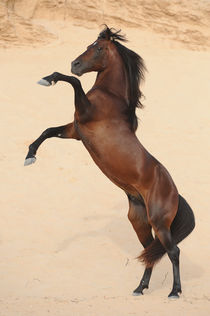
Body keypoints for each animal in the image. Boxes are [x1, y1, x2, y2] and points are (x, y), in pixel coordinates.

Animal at [24, 25, 195, 298]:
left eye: (99, 48)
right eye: (89, 44)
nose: (75, 64)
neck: (111, 96)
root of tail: (175, 193)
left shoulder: (83, 114)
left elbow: (74, 82)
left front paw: (48, 79)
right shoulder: (75, 130)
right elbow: (49, 130)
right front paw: (30, 156)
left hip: (160, 223)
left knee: (173, 251)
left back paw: (174, 292)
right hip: (140, 222)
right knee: (150, 252)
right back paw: (140, 288)